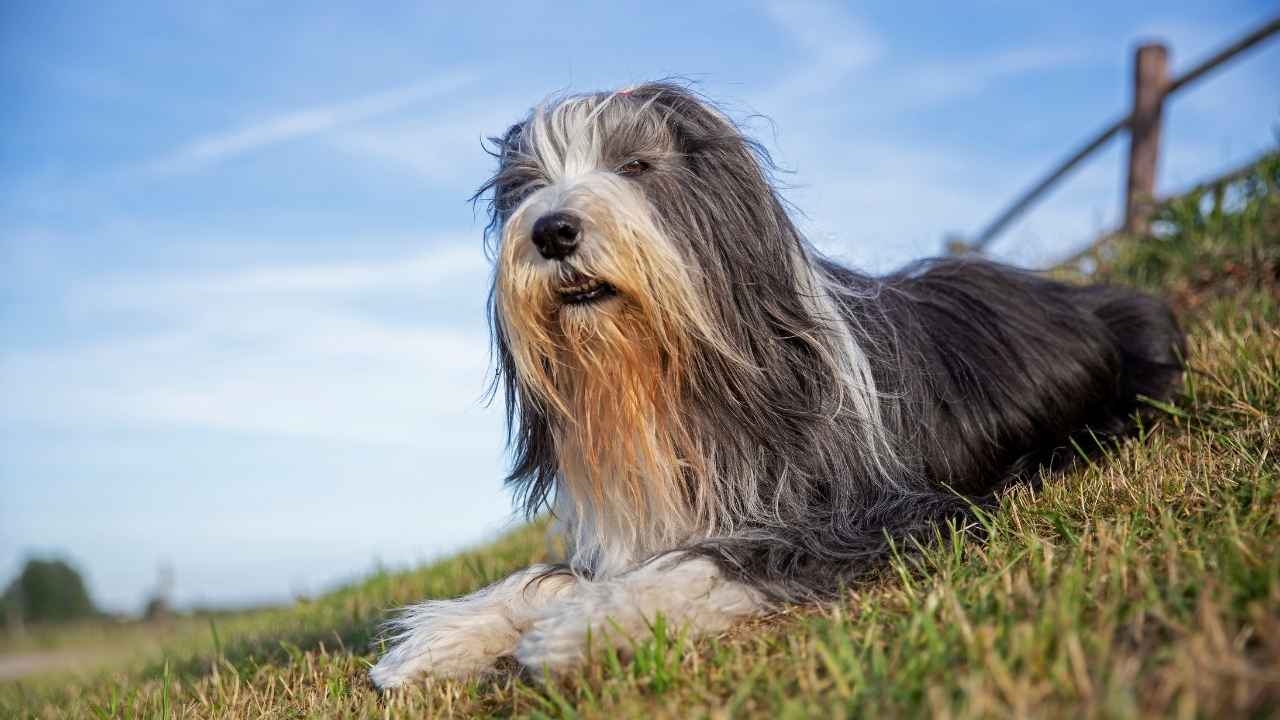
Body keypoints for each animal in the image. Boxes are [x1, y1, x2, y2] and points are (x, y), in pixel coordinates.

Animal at [366, 81, 1182, 686]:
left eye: (635, 167)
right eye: (528, 187)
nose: (552, 230)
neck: (675, 383)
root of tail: (1095, 296)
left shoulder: (878, 515)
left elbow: (720, 559)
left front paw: (578, 630)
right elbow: (547, 575)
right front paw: (437, 640)